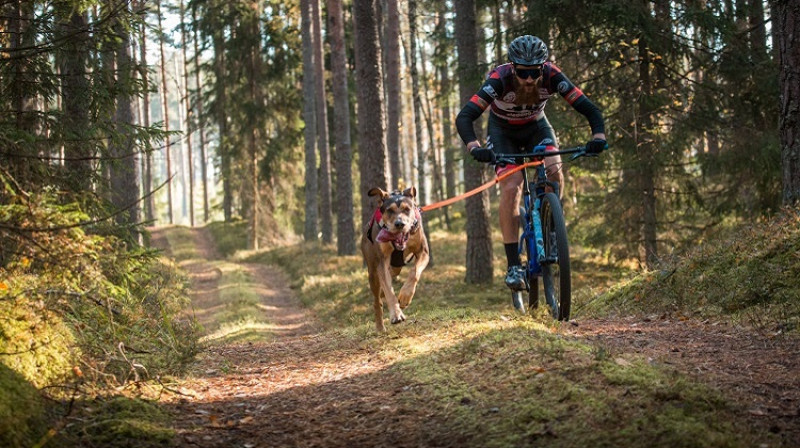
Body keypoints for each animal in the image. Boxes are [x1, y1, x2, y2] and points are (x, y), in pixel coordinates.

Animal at [360, 186, 428, 332]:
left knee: (393, 274)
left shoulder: (423, 251)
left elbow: (414, 272)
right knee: (377, 298)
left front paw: (405, 296)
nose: (399, 223)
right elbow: (388, 289)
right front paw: (396, 314)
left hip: (396, 266)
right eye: (390, 210)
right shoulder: (382, 261)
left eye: (407, 209)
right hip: (372, 270)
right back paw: (380, 326)